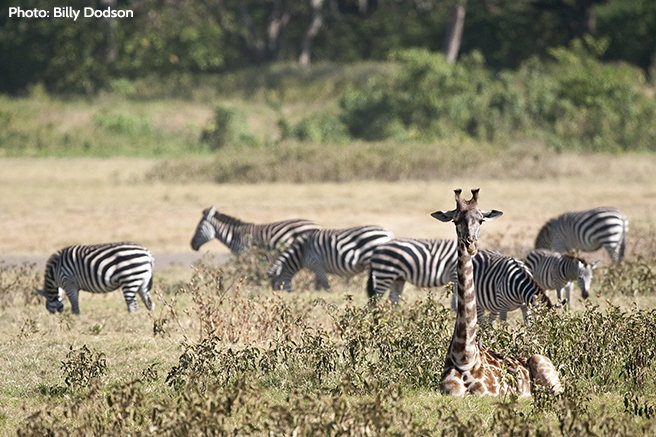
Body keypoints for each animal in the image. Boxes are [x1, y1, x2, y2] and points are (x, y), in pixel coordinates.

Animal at [434, 187, 560, 396]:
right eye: (455, 220)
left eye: (481, 220)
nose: (470, 244)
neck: (464, 356)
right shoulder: (449, 390)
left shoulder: (486, 393)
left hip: (543, 365)